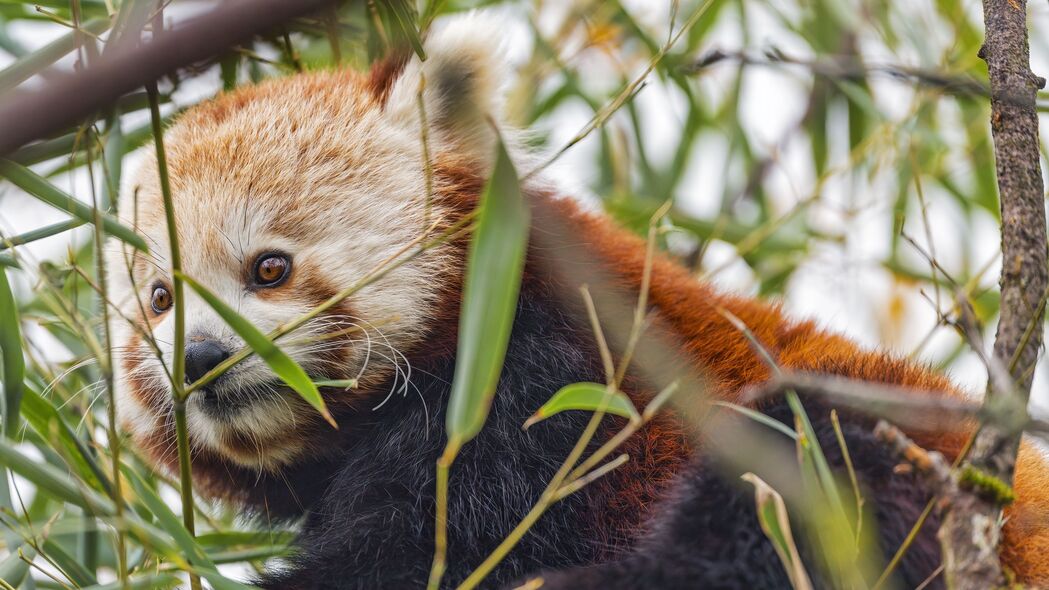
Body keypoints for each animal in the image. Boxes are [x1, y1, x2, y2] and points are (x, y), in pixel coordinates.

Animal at [108, 13, 1049, 587]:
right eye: (159, 299)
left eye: (269, 269)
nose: (200, 359)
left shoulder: (543, 392)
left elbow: (414, 550)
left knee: (808, 466)